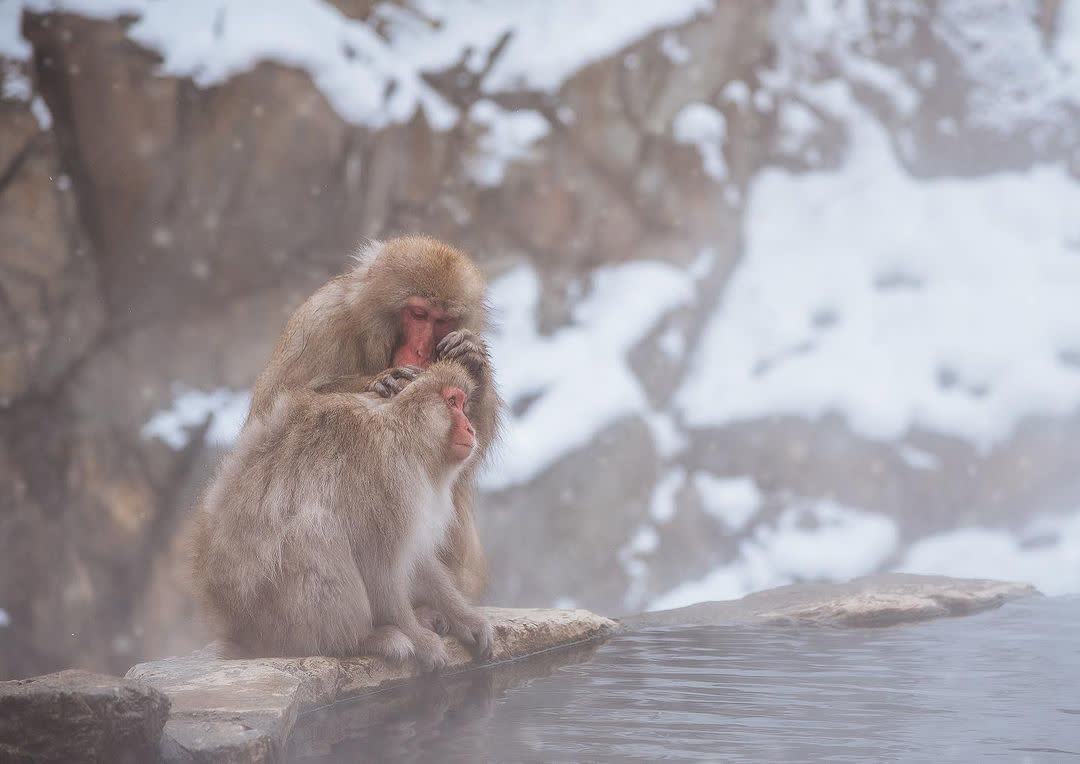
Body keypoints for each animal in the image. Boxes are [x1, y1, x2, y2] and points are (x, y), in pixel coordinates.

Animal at [190, 361, 494, 669]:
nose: (471, 428)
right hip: (276, 621)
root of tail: (233, 625)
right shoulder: (386, 474)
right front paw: (418, 638)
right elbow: (379, 563)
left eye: (462, 404)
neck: (405, 431)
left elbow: (417, 557)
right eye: (452, 402)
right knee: (316, 530)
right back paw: (362, 639)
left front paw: (465, 618)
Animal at [245, 236, 501, 604]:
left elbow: (466, 456)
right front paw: (384, 382)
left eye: (442, 320)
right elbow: (270, 420)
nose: (421, 352)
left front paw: (472, 356)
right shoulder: (320, 325)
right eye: (418, 313)